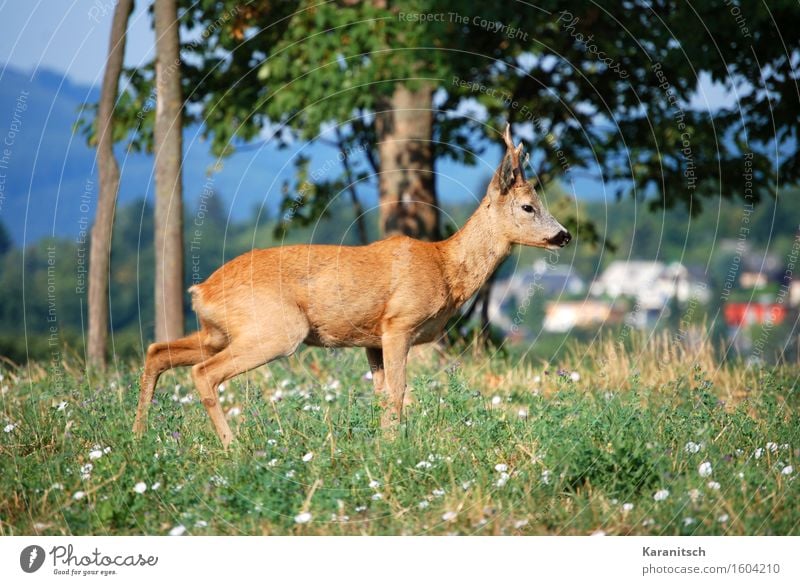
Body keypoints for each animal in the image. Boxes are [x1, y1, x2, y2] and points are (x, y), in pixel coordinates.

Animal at [133, 125, 568, 444]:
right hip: (276, 328)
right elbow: (398, 392)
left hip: (220, 331)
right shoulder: (398, 324)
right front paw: (395, 447)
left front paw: (384, 444)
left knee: (157, 352)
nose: (563, 235)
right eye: (528, 207)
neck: (445, 267)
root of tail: (201, 291)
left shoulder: (371, 339)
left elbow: (381, 395)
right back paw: (232, 446)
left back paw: (140, 437)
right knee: (203, 372)